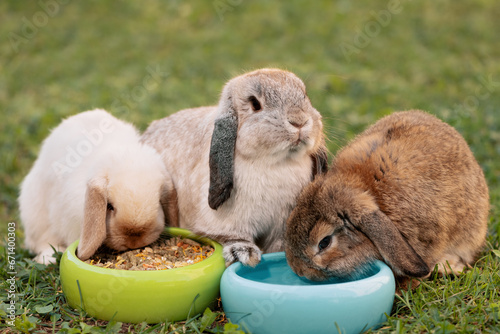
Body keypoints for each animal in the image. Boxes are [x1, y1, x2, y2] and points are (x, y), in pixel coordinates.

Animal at [141, 68, 328, 266]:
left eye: (305, 95)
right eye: (255, 104)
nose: (299, 121)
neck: (277, 162)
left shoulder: (282, 221)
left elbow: (279, 241)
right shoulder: (227, 222)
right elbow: (232, 236)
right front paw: (245, 253)